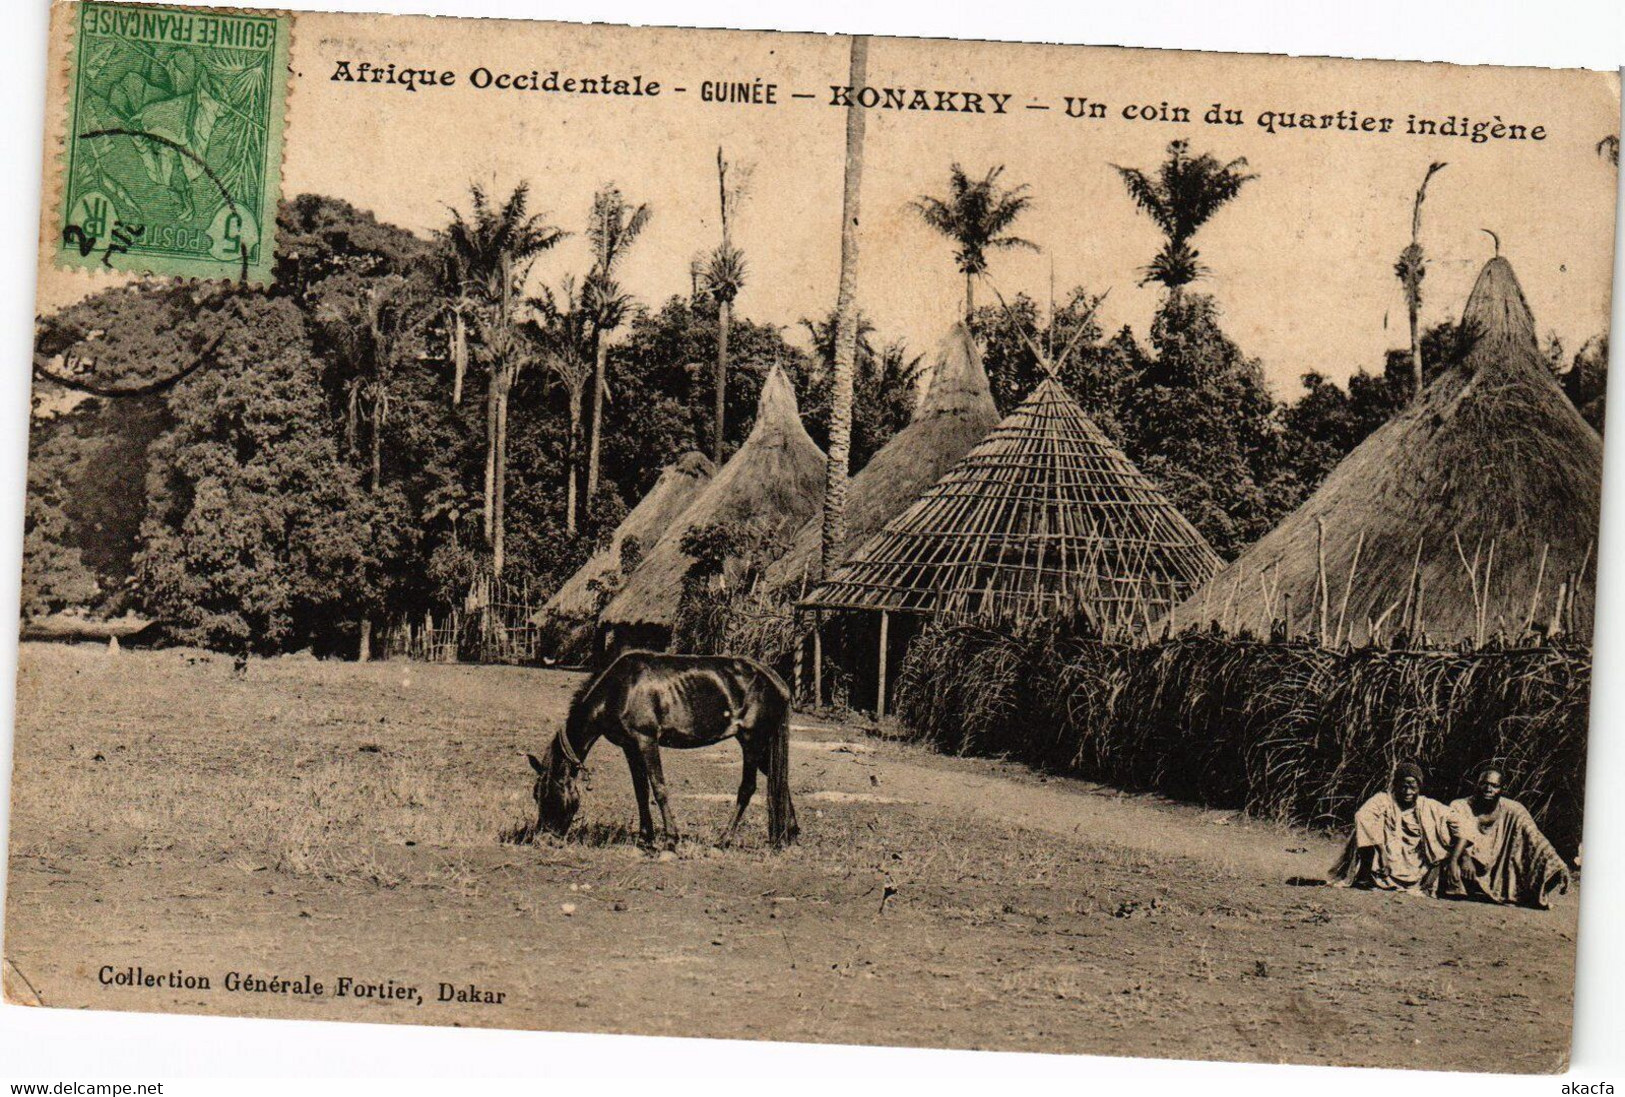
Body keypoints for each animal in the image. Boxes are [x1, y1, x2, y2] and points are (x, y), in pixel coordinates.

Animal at [526, 653, 799, 851]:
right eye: (536, 795)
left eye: (548, 794)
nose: (543, 840)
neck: (619, 689)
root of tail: (777, 681)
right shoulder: (630, 746)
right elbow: (641, 791)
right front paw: (645, 838)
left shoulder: (647, 741)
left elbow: (658, 788)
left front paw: (670, 840)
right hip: (762, 746)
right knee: (780, 781)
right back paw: (789, 836)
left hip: (752, 741)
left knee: (748, 788)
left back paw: (723, 841)